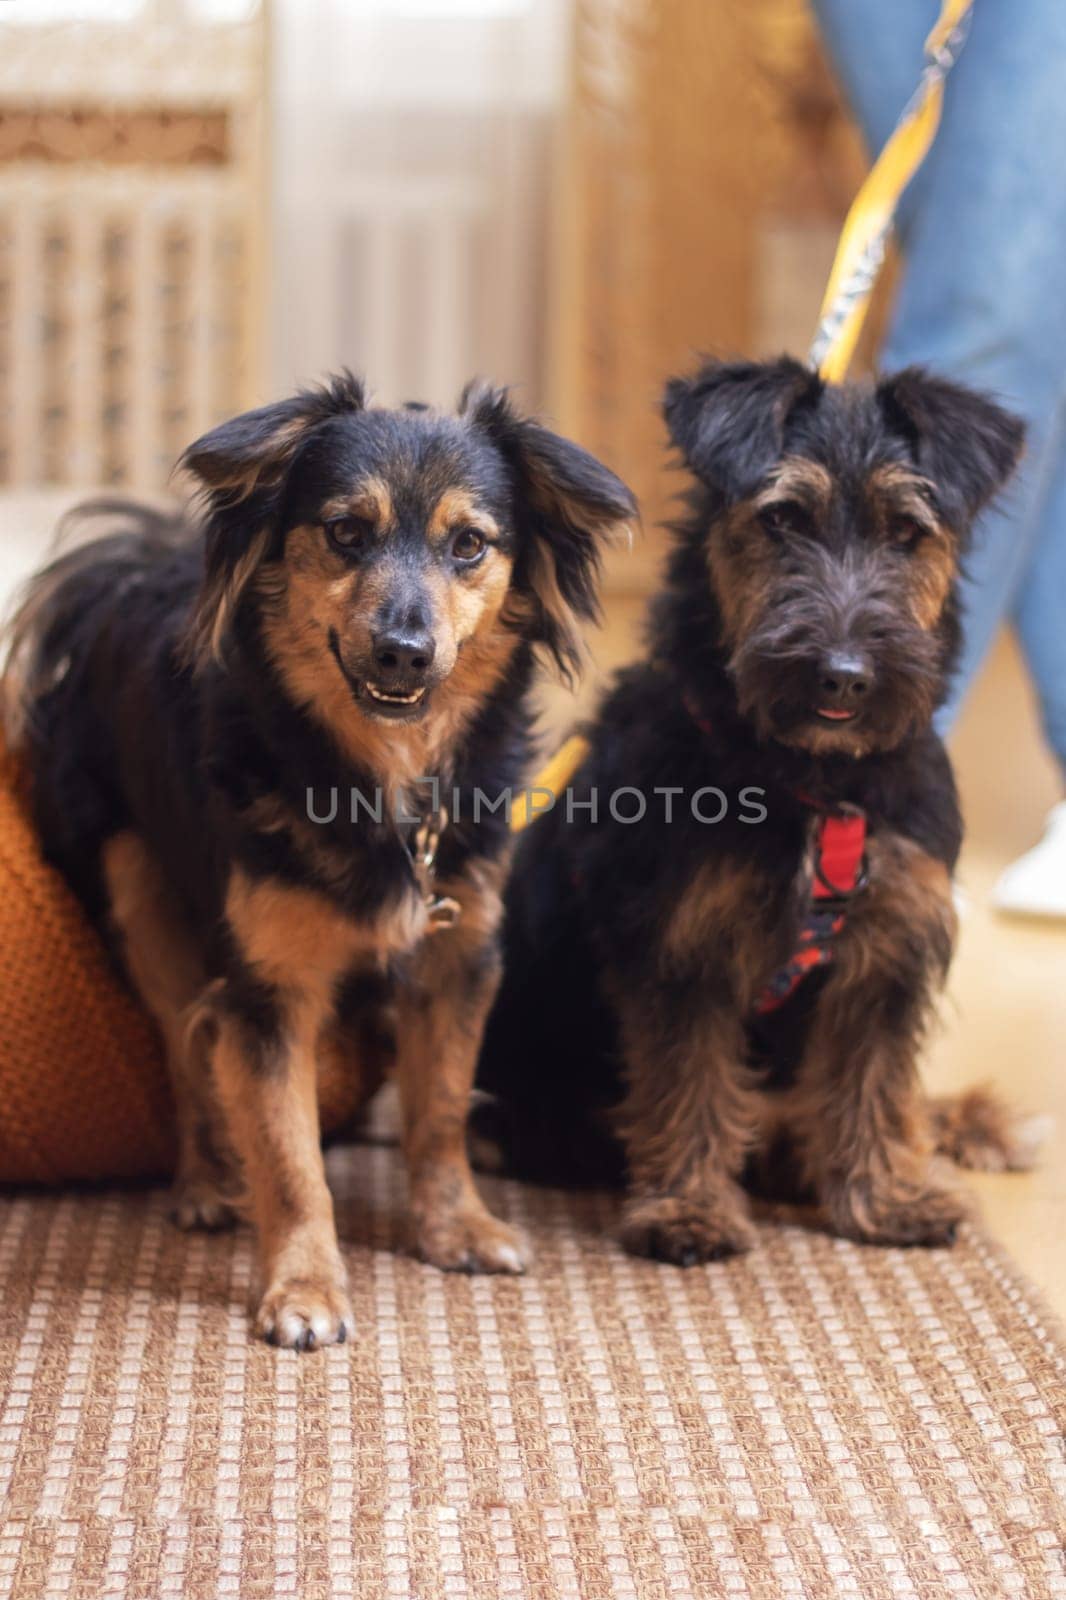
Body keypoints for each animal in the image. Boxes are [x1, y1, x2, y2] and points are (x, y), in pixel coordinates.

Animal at [4, 371, 633, 1337]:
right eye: (345, 532)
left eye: (468, 545)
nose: (404, 652)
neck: (386, 778)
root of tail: (126, 569)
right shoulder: (270, 987)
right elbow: (289, 1152)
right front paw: (303, 1286)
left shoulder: (457, 952)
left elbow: (440, 1109)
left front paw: (454, 1227)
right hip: (138, 895)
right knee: (186, 1050)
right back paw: (204, 1183)